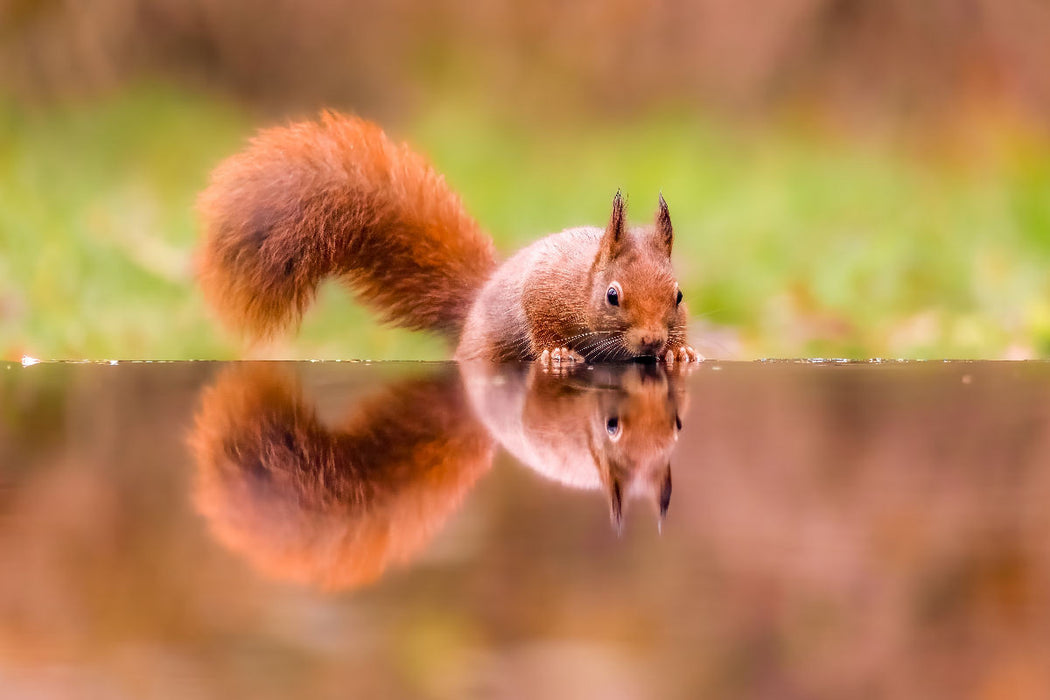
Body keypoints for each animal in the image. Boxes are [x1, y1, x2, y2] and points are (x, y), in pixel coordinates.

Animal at [199, 112, 701, 365]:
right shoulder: (543, 290)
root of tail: (478, 298)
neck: (584, 280)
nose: (652, 342)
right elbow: (540, 325)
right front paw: (558, 354)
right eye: (613, 296)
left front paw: (681, 352)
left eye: (678, 295)